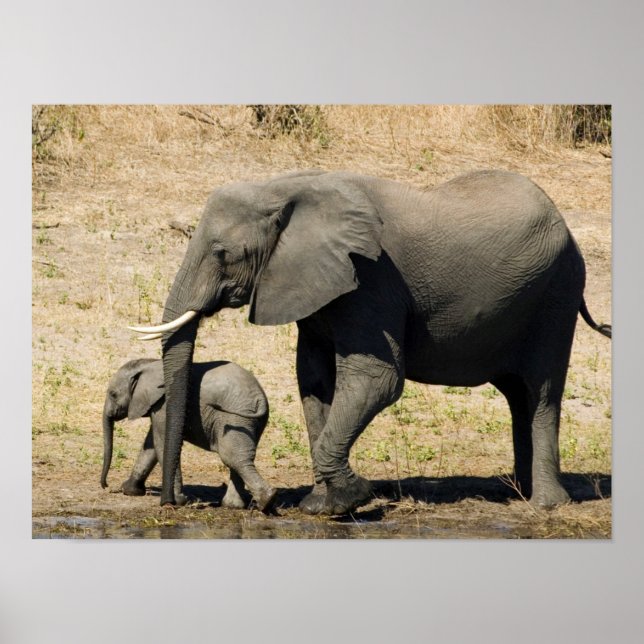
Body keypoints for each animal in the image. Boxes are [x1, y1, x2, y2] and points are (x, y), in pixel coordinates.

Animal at [100, 358, 276, 511]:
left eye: (113, 394)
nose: (106, 486)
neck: (149, 363)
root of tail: (260, 398)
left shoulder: (164, 405)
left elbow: (161, 443)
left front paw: (177, 501)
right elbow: (150, 445)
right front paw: (129, 490)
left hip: (234, 419)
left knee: (233, 457)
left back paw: (266, 500)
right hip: (250, 422)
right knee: (239, 458)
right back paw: (235, 505)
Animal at [128, 169, 611, 515]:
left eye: (223, 254)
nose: (173, 504)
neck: (286, 186)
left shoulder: (371, 278)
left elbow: (375, 380)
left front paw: (353, 498)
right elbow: (314, 381)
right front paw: (320, 505)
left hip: (556, 294)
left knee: (541, 391)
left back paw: (545, 504)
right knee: (517, 396)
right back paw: (518, 493)